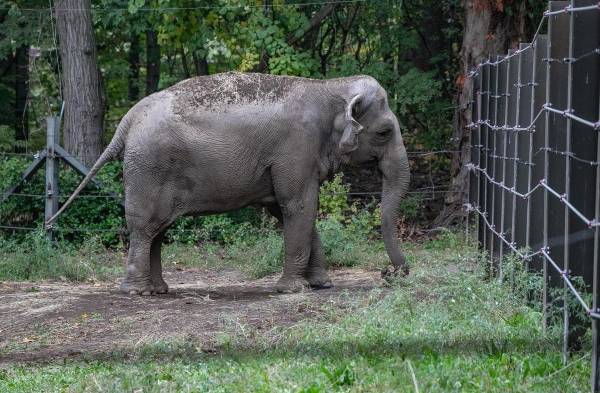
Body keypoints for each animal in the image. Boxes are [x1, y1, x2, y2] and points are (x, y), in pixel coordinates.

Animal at [48, 72, 412, 294]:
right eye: (384, 132)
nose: (390, 273)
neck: (330, 87)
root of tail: (128, 119)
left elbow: (287, 210)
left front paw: (321, 284)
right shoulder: (295, 149)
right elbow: (299, 205)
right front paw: (293, 290)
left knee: (158, 230)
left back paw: (159, 290)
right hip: (148, 169)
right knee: (144, 227)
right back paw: (137, 292)